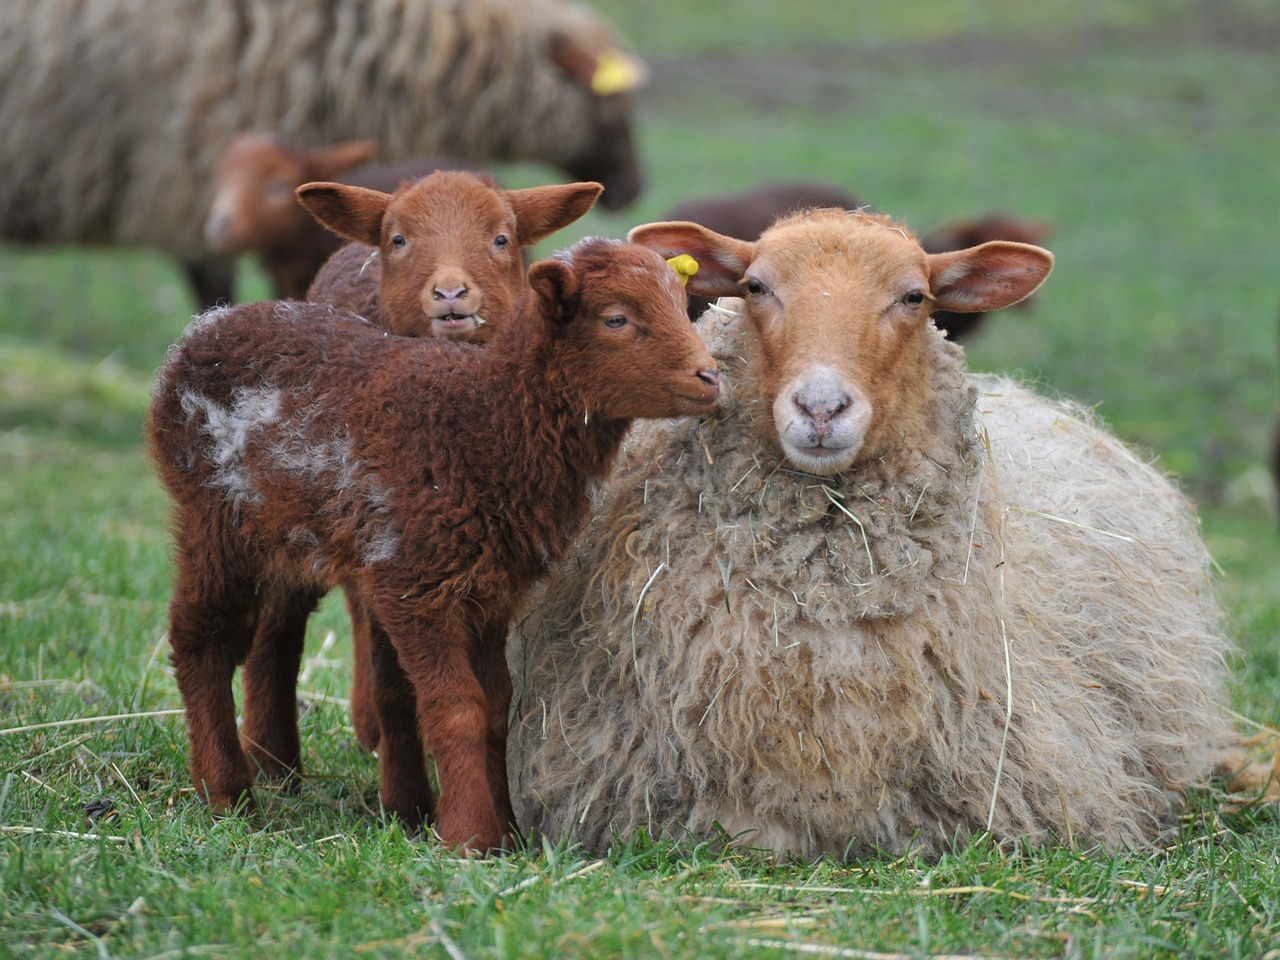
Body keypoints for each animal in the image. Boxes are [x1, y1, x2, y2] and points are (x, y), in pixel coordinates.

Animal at [147, 236, 721, 852]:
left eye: (680, 301)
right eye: (616, 319)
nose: (711, 377)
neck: (483, 420)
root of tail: (205, 328)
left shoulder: (491, 590)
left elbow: (496, 707)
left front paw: (507, 832)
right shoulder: (414, 583)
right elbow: (457, 708)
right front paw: (471, 835)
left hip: (286, 536)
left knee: (271, 637)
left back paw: (275, 770)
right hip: (217, 517)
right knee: (200, 638)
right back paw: (226, 792)